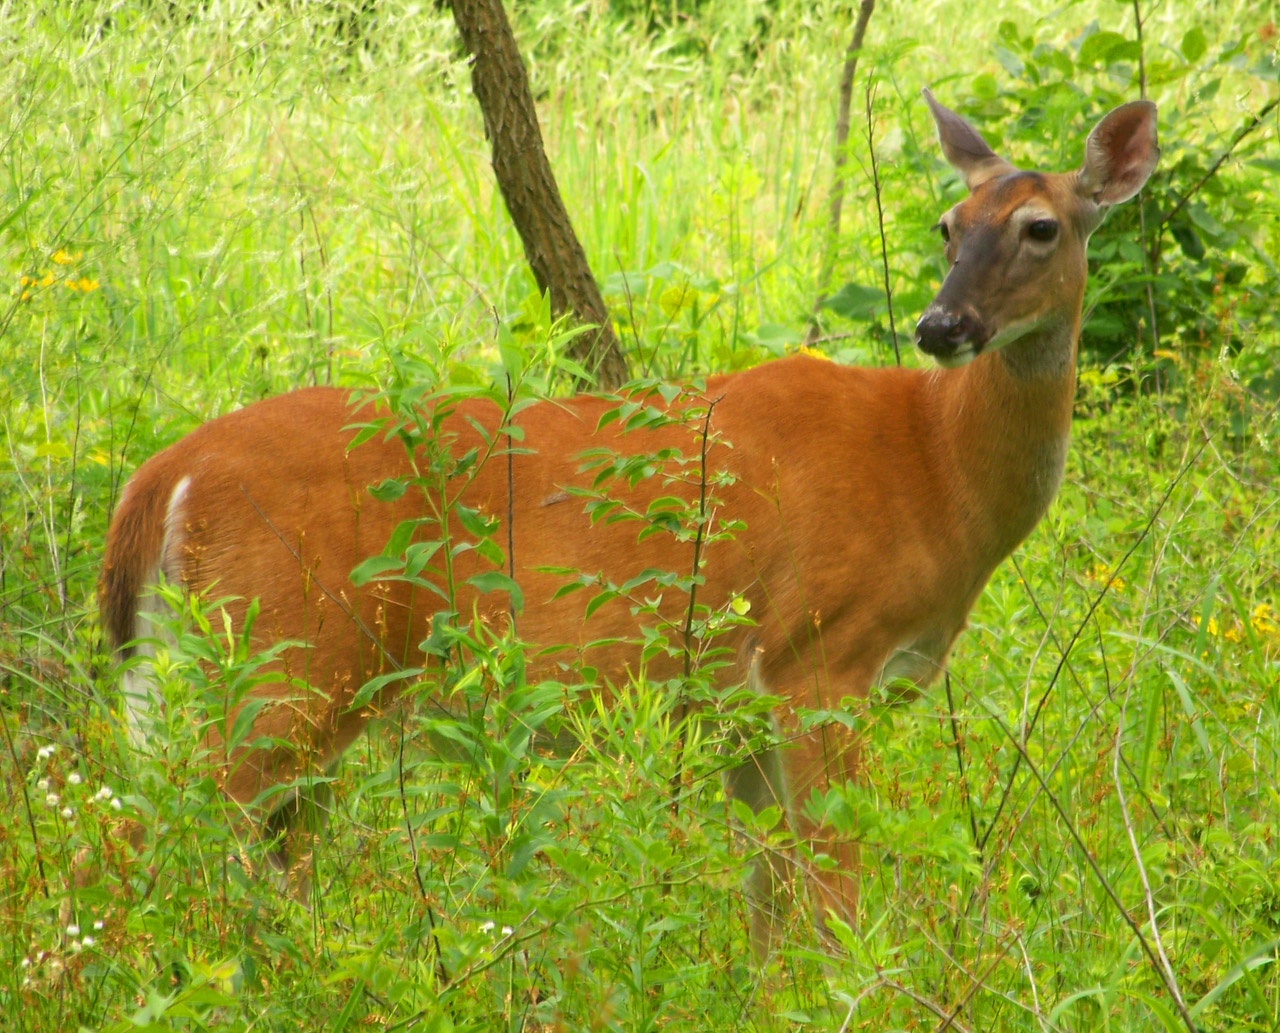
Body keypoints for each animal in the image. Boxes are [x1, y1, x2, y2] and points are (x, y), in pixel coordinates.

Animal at [99, 90, 1162, 962]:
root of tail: (161, 477)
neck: (934, 467)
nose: (941, 327)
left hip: (196, 671)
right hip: (280, 659)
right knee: (138, 840)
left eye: (1040, 227)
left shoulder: (743, 708)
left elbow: (766, 906)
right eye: (948, 226)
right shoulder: (821, 656)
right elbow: (833, 900)